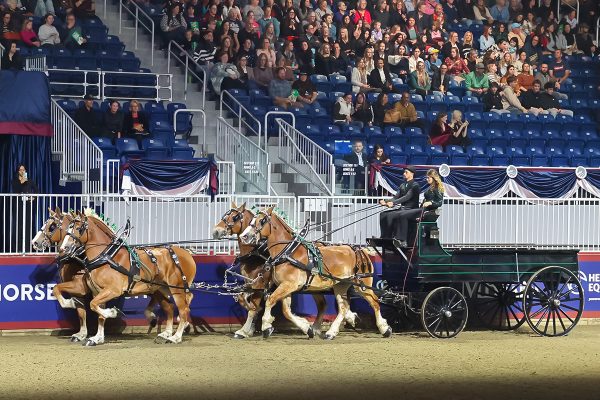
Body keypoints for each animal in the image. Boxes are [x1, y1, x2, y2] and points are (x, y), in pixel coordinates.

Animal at [58, 211, 196, 346]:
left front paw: (112, 312)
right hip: (162, 289)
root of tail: (186, 254)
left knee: (183, 309)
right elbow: (99, 313)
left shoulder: (113, 290)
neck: (107, 257)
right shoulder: (98, 291)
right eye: (67, 228)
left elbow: (93, 305)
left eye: (78, 228)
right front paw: (97, 338)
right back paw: (166, 334)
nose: (63, 248)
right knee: (171, 307)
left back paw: (175, 337)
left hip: (177, 289)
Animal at [211, 203, 356, 338]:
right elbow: (245, 299)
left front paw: (253, 328)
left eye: (234, 217)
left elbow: (256, 306)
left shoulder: (262, 283)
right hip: (317, 287)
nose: (215, 231)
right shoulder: (253, 283)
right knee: (328, 305)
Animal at [241, 208, 392, 340]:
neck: (288, 252)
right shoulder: (285, 287)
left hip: (362, 285)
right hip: (341, 285)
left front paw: (266, 327)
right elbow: (286, 311)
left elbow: (270, 301)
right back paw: (331, 333)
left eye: (261, 220)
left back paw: (385, 329)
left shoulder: (289, 285)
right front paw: (307, 328)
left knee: (375, 302)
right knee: (343, 307)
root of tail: (360, 250)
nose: (244, 236)